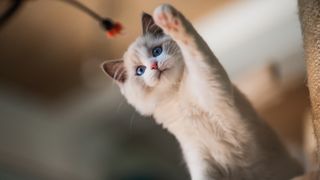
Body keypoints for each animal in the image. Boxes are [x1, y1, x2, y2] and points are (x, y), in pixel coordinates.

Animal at [102, 4, 302, 180]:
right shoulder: (199, 156)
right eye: (140, 71)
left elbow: (193, 49)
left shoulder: (209, 82)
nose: (153, 66)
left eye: (157, 51)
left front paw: (167, 18)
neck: (177, 96)